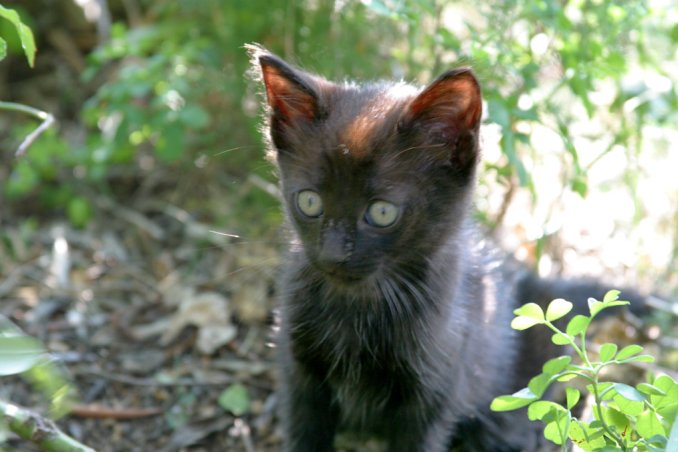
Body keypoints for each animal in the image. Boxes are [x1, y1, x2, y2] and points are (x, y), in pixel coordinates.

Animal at [250, 44, 644, 450]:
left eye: (382, 212)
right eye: (310, 202)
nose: (332, 256)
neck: (358, 309)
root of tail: (535, 283)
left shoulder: (431, 397)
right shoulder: (299, 377)